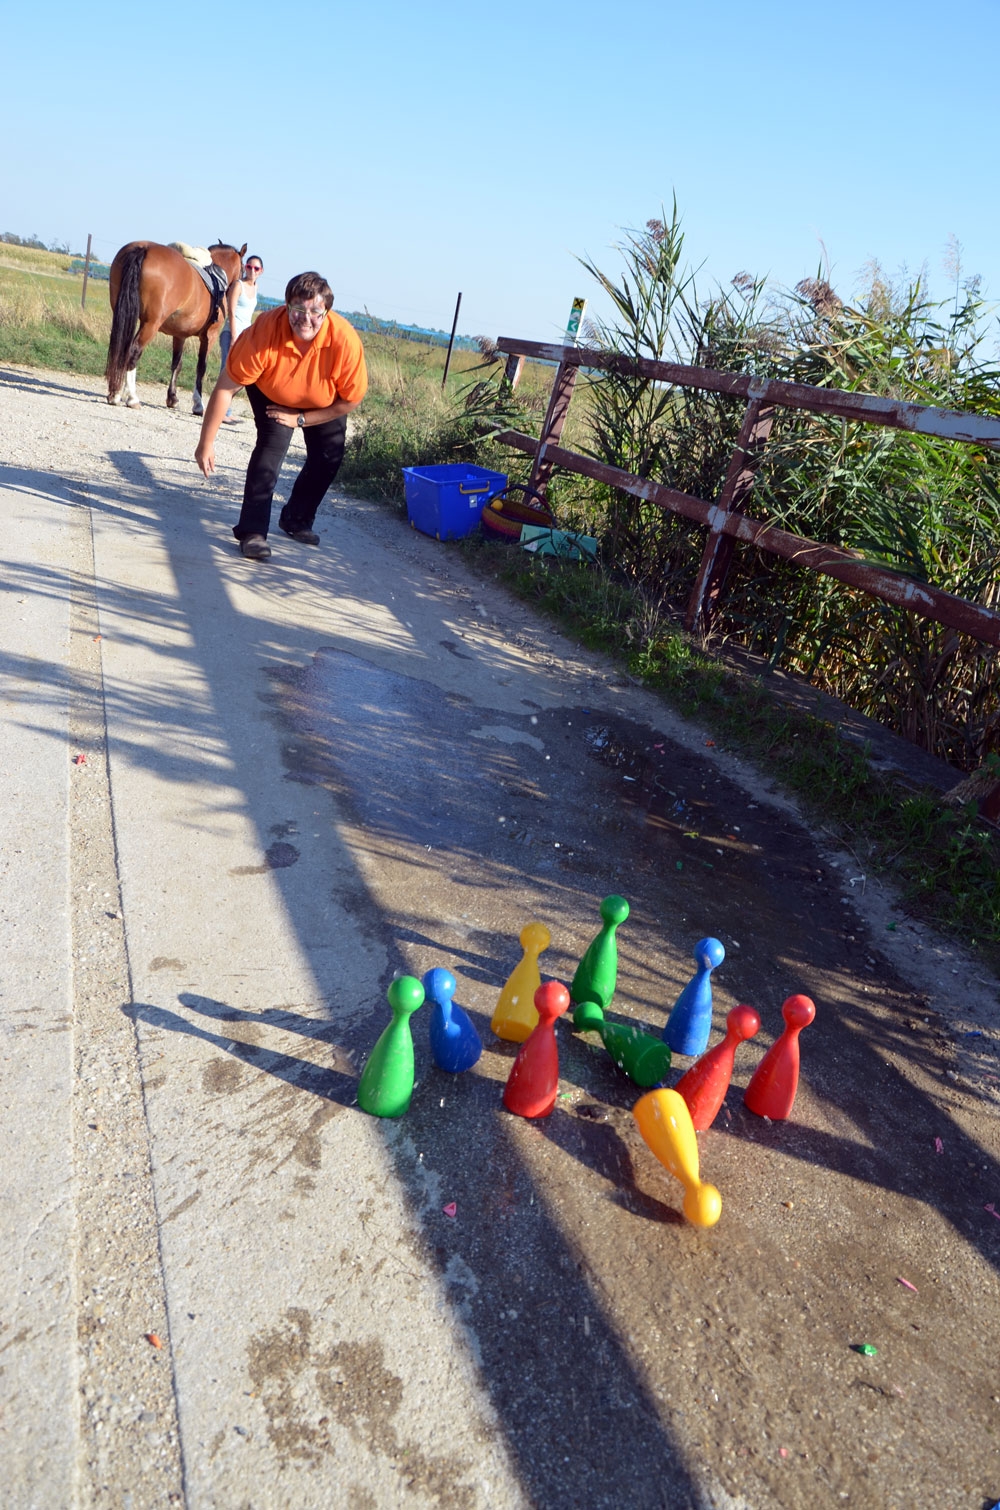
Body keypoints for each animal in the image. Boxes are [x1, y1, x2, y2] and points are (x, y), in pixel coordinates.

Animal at [104, 238, 246, 413]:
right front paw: (198, 404)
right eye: (243, 269)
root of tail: (143, 249)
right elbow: (201, 367)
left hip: (122, 313)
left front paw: (172, 398)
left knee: (121, 349)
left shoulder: (179, 335)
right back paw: (132, 398)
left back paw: (115, 394)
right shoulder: (209, 336)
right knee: (133, 351)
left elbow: (176, 364)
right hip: (150, 324)